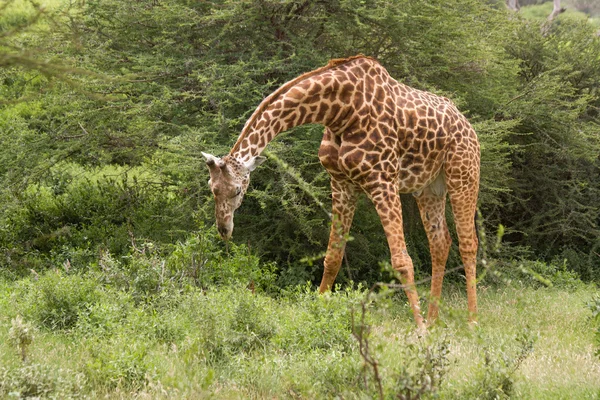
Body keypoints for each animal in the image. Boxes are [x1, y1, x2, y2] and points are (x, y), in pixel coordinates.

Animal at [204, 56, 480, 332]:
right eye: (211, 188)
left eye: (237, 190)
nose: (224, 229)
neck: (339, 111)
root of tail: (468, 124)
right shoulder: (341, 183)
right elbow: (333, 256)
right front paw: (316, 312)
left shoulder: (382, 180)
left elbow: (402, 261)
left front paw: (420, 328)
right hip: (429, 187)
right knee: (440, 242)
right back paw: (434, 319)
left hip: (463, 174)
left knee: (468, 244)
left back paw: (470, 321)